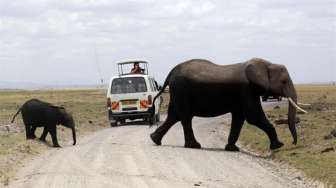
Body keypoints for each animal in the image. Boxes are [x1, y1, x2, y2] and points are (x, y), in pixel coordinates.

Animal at [150, 57, 308, 151]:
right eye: (283, 81)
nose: (293, 143)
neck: (266, 64)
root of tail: (172, 71)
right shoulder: (247, 89)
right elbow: (253, 117)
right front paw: (278, 146)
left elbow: (239, 118)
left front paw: (232, 149)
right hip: (182, 90)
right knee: (185, 117)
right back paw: (194, 146)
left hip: (178, 92)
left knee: (174, 116)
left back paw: (155, 140)